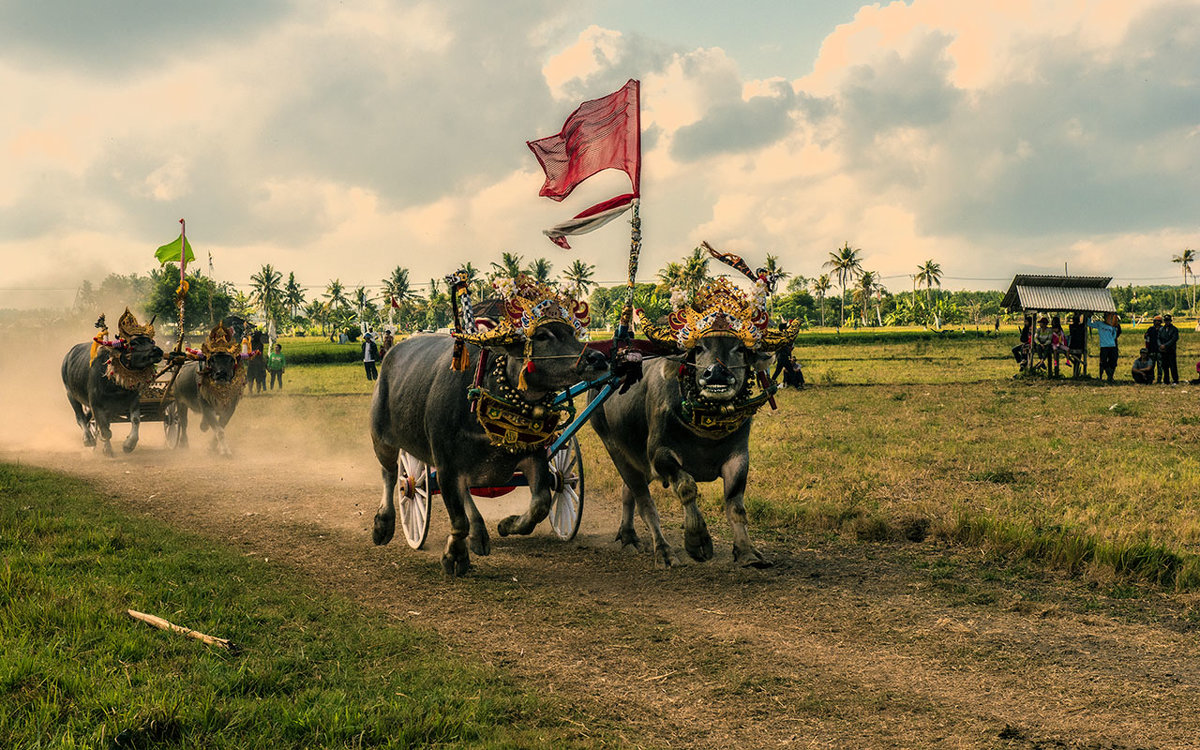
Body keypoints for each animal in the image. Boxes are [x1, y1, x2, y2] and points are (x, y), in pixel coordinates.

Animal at [62, 309, 164, 456]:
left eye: (151, 341)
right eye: (133, 343)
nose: (157, 350)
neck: (114, 382)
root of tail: (68, 357)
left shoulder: (132, 399)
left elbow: (135, 420)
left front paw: (128, 445)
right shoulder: (96, 404)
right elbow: (105, 430)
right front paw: (108, 449)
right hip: (70, 394)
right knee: (80, 417)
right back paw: (88, 439)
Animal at [172, 324, 247, 456]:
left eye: (231, 359)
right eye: (212, 359)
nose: (221, 374)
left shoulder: (230, 407)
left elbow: (220, 427)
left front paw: (212, 446)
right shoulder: (205, 405)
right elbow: (219, 430)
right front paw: (225, 451)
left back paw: (203, 425)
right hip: (179, 401)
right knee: (183, 422)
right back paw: (183, 443)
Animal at [367, 278, 609, 576]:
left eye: (572, 333)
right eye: (542, 336)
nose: (597, 358)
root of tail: (390, 354)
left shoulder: (533, 454)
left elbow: (540, 503)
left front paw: (507, 524)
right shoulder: (446, 464)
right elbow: (457, 518)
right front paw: (455, 557)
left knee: (465, 493)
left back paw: (479, 534)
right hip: (382, 438)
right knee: (391, 476)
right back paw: (383, 525)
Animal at [590, 274, 796, 566]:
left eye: (738, 348)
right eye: (698, 348)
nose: (716, 373)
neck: (706, 428)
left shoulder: (739, 457)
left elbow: (736, 505)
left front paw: (746, 551)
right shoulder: (659, 455)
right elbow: (687, 488)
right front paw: (698, 541)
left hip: (634, 457)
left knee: (627, 491)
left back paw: (628, 536)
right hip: (615, 448)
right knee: (644, 502)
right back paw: (663, 550)